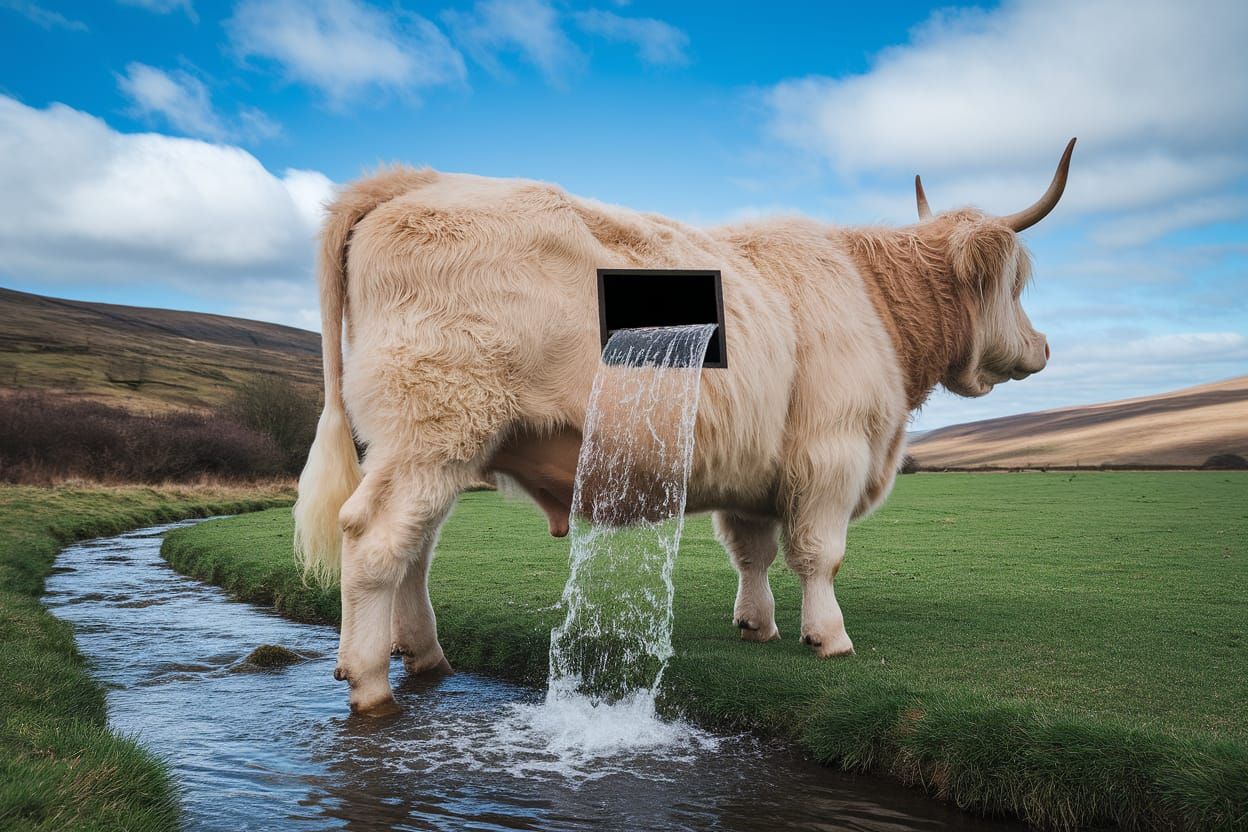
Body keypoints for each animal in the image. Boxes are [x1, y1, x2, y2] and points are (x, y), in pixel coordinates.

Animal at [294, 139, 1075, 714]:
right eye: (1016, 287)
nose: (1043, 347)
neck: (876, 303)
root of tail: (413, 181)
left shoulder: (757, 471)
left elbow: (752, 552)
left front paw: (756, 624)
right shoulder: (834, 452)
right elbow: (820, 555)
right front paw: (828, 637)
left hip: (429, 444)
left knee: (416, 550)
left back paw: (424, 655)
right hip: (436, 428)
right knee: (375, 540)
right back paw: (369, 681)